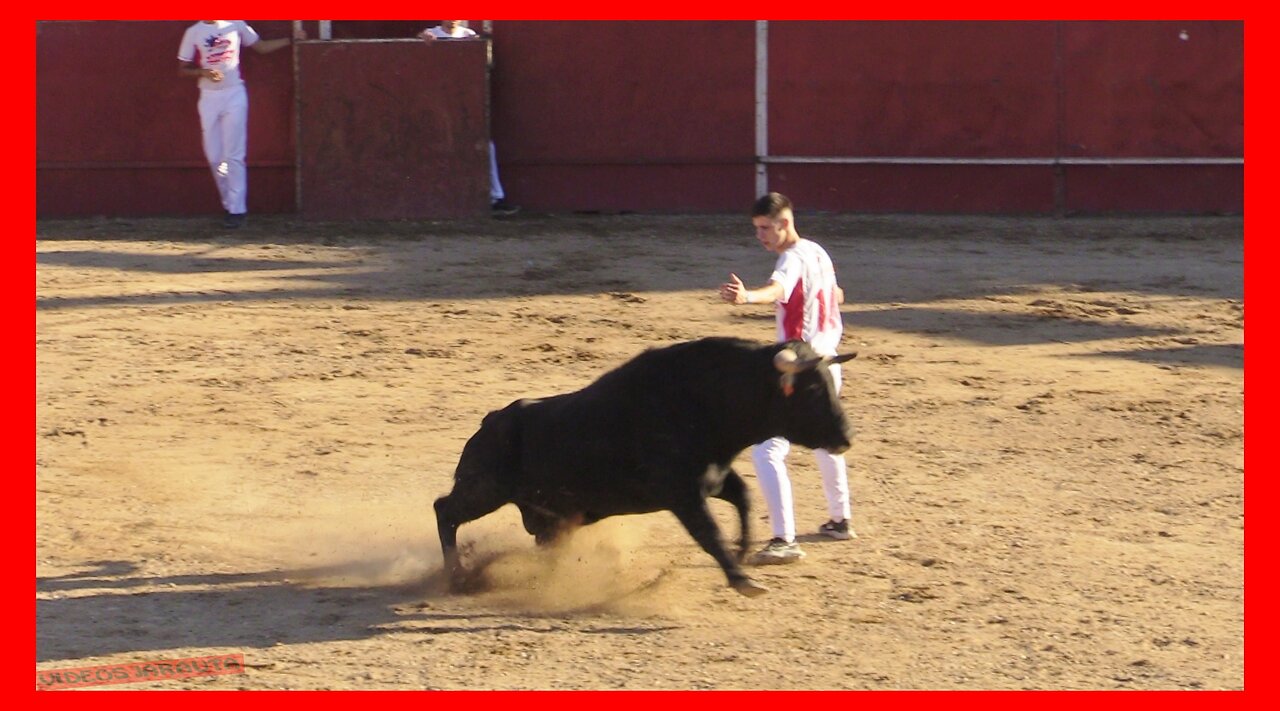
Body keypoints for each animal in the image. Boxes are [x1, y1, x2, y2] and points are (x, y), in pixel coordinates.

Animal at [435, 338, 855, 594]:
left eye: (830, 384)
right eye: (811, 390)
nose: (846, 437)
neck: (706, 401)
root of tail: (490, 421)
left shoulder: (714, 478)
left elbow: (746, 499)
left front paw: (741, 555)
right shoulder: (684, 496)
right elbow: (710, 533)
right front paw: (741, 579)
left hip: (548, 516)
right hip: (484, 489)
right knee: (445, 510)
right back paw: (456, 575)